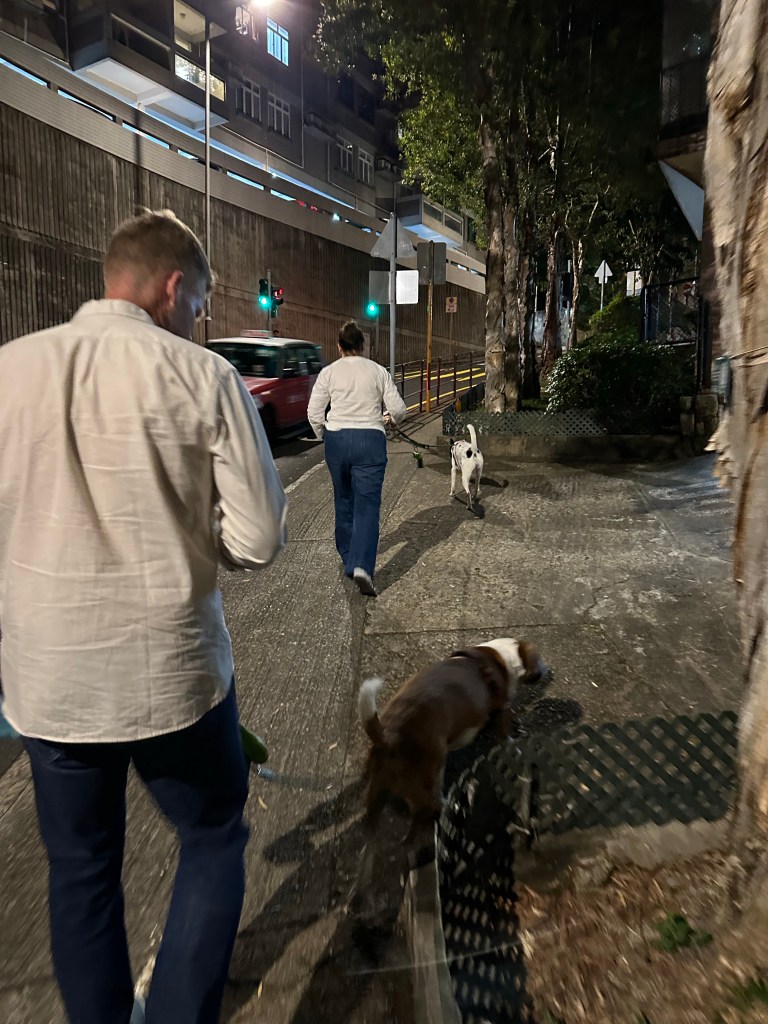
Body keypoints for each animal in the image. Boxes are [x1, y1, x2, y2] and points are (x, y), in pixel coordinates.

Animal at [358, 638, 548, 848]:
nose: (546, 670)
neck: (500, 656)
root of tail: (389, 738)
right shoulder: (503, 709)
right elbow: (505, 733)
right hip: (431, 777)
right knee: (426, 812)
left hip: (377, 787)